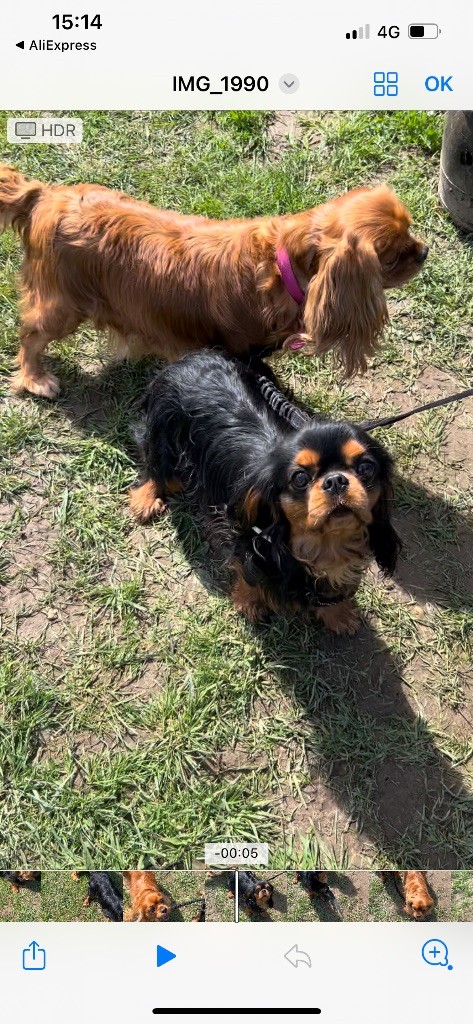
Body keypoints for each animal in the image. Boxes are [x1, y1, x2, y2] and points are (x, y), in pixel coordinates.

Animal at [0, 163, 427, 395]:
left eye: (411, 232)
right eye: (394, 256)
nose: (423, 252)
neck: (281, 266)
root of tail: (46, 197)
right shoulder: (240, 353)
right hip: (63, 306)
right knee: (30, 335)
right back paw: (35, 378)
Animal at [131, 350, 401, 630]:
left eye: (366, 468)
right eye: (300, 478)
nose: (336, 480)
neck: (324, 543)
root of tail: (189, 358)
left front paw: (339, 613)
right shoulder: (243, 536)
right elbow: (249, 574)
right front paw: (248, 603)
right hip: (168, 442)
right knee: (156, 468)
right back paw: (145, 498)